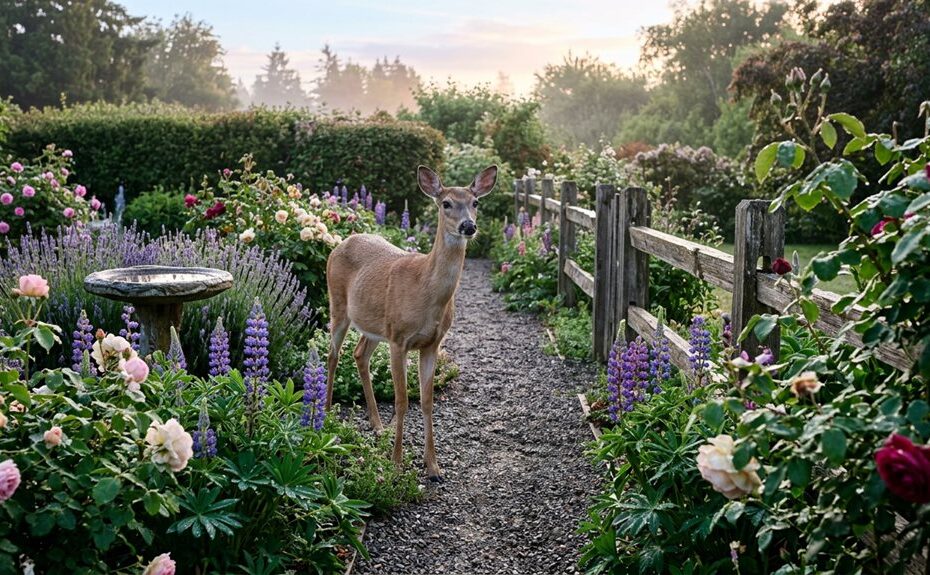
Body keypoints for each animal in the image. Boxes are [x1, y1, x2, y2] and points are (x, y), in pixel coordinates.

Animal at [325, 165, 498, 482]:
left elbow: (426, 401)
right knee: (333, 355)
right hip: (339, 306)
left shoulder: (432, 343)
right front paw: (395, 464)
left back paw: (377, 425)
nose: (468, 226)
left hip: (374, 324)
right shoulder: (399, 339)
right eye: (446, 203)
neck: (426, 289)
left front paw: (433, 467)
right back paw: (327, 414)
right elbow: (403, 400)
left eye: (476, 202)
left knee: (359, 354)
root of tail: (341, 241)